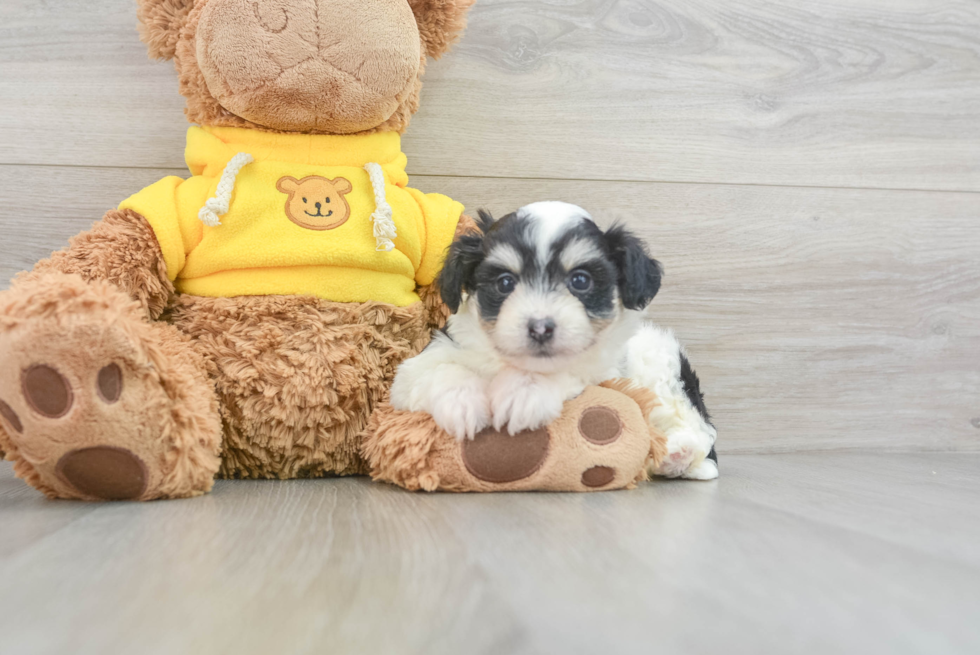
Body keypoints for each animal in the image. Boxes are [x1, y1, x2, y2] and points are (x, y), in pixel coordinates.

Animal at [390, 202, 720, 480]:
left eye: (581, 281)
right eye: (505, 283)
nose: (540, 328)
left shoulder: (605, 371)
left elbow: (569, 372)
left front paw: (525, 391)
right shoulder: (417, 369)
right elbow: (438, 370)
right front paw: (461, 403)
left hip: (665, 369)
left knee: (700, 430)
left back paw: (677, 453)